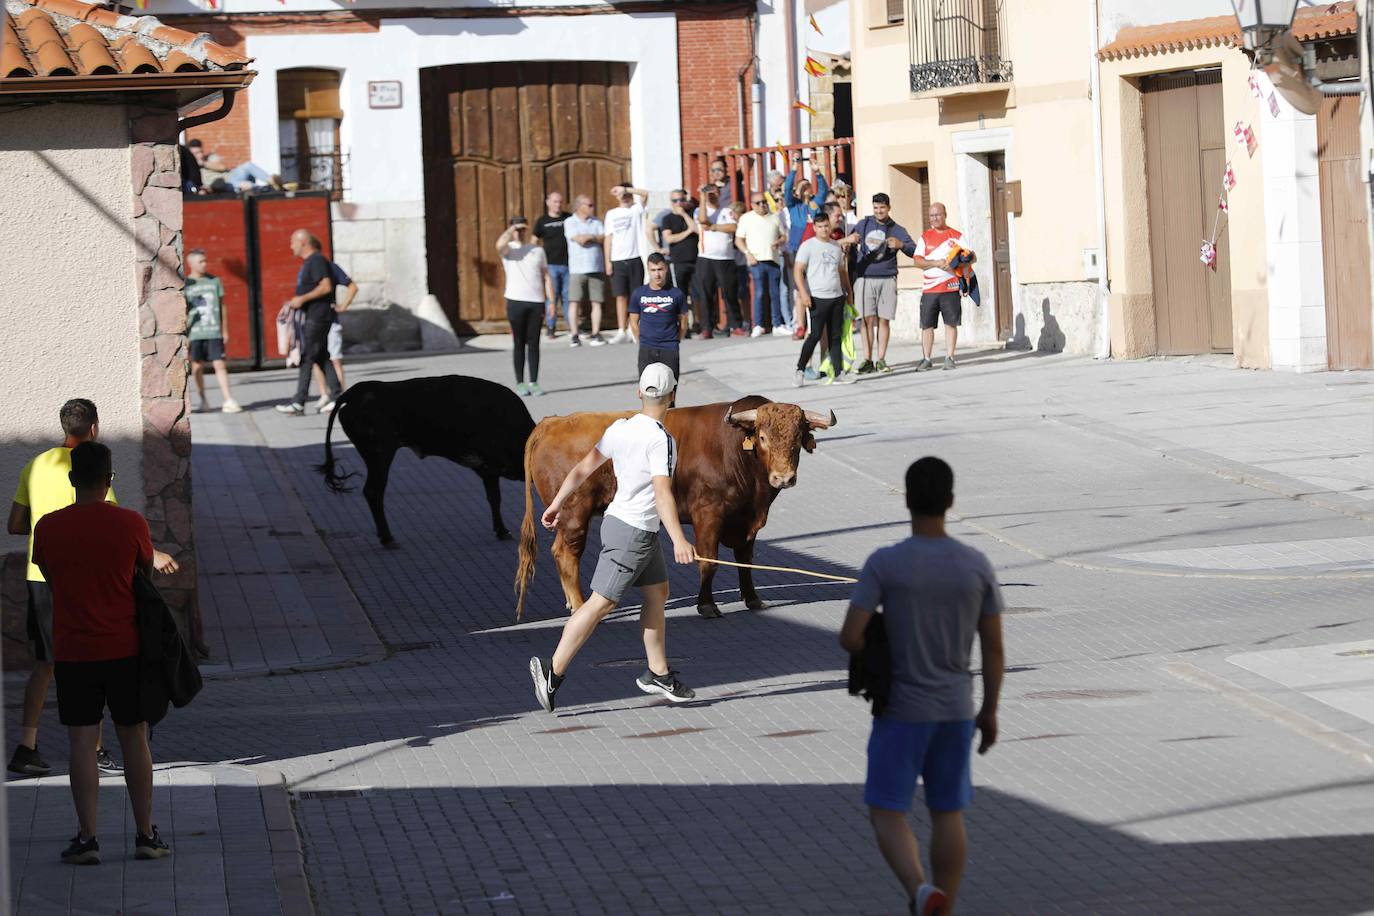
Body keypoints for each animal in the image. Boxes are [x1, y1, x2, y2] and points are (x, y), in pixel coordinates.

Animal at [516, 395, 829, 615]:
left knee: (560, 552)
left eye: (797, 439)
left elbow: (746, 561)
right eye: (763, 437)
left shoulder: (746, 520)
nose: (783, 477)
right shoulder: (708, 515)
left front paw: (752, 598)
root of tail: (552, 422)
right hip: (574, 515)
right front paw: (707, 605)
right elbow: (708, 562)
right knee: (568, 555)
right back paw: (580, 606)